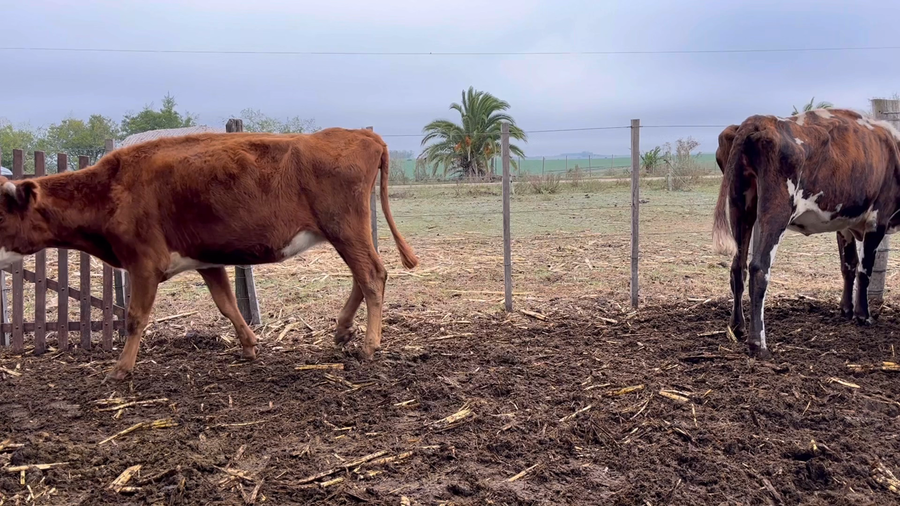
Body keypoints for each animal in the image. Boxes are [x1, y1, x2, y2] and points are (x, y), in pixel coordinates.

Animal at [0, 127, 419, 380]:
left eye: (2, 216)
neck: (112, 187)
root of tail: (362, 133)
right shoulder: (207, 260)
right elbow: (227, 304)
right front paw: (249, 345)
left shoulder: (144, 264)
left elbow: (135, 318)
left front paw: (121, 368)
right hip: (345, 232)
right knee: (363, 275)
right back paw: (343, 329)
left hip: (345, 228)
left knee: (372, 275)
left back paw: (369, 343)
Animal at [712, 108, 900, 358]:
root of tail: (758, 121)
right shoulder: (878, 219)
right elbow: (864, 270)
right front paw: (863, 315)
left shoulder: (844, 224)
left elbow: (848, 267)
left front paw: (846, 310)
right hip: (777, 208)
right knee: (759, 268)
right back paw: (758, 344)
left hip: (740, 206)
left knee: (737, 267)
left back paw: (737, 327)